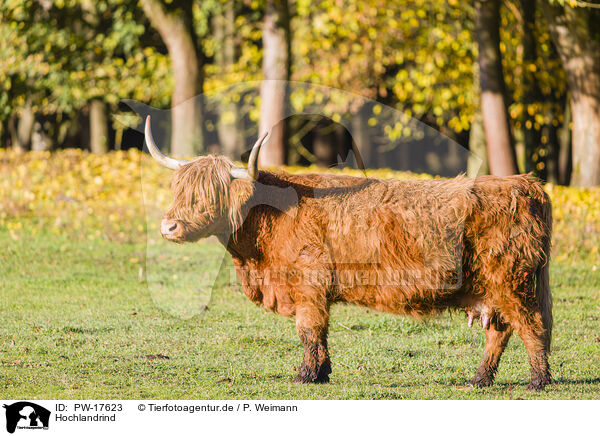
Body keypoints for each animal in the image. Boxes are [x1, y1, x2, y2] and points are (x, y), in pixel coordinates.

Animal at [144, 114, 552, 390]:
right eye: (179, 190)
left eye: (209, 194)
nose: (169, 227)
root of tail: (524, 184)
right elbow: (320, 334)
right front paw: (322, 373)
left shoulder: (308, 286)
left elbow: (308, 330)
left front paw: (305, 376)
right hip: (492, 289)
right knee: (500, 331)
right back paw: (479, 380)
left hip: (511, 281)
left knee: (531, 324)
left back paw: (537, 381)